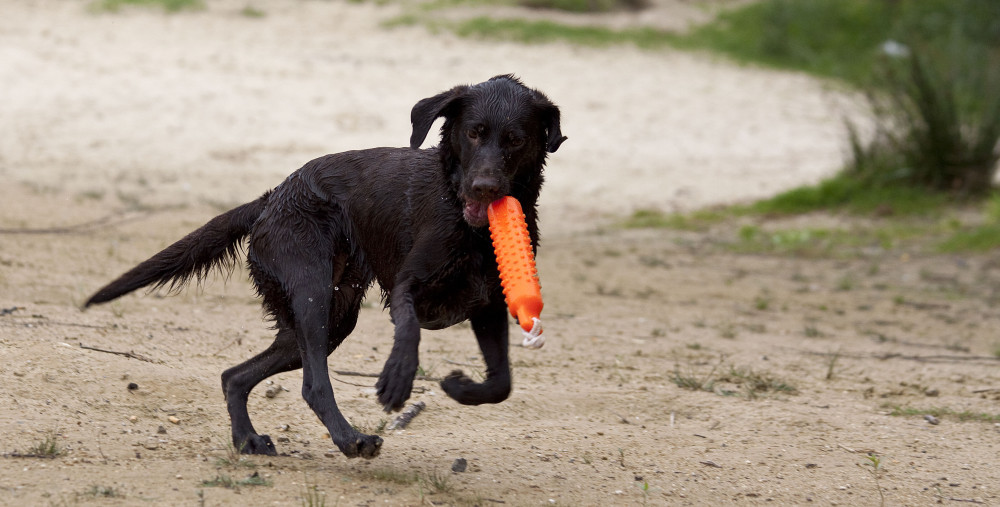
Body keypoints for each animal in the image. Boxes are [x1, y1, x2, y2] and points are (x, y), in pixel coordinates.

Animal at [85, 75, 564, 460]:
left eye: (516, 140)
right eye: (473, 133)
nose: (484, 188)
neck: (467, 224)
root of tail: (271, 197)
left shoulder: (489, 306)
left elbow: (501, 383)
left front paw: (459, 387)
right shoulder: (407, 285)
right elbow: (409, 330)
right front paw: (397, 378)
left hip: (330, 317)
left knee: (234, 376)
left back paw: (248, 439)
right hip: (312, 292)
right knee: (313, 384)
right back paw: (352, 439)